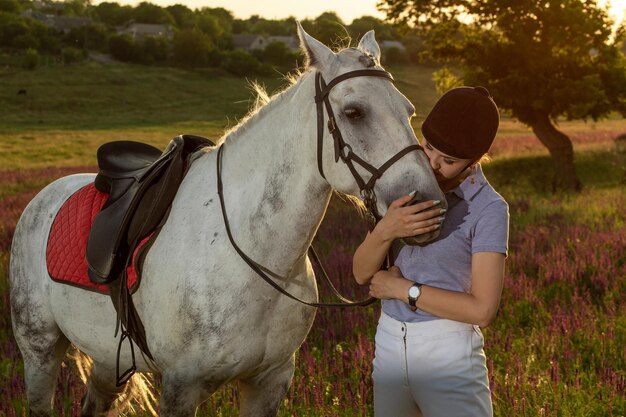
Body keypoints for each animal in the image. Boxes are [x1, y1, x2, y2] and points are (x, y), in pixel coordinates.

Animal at [7, 24, 442, 414]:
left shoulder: (270, 381)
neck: (254, 256)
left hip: (105, 359)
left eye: (408, 110)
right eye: (354, 112)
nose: (429, 208)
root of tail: (44, 196)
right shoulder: (181, 387)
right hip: (40, 351)